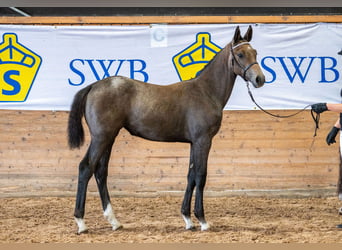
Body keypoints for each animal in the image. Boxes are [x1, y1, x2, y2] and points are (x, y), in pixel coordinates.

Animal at [68, 25, 266, 234]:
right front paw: (202, 220)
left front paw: (187, 219)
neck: (206, 91)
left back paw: (114, 221)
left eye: (255, 52)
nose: (259, 79)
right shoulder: (203, 140)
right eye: (240, 54)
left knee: (100, 171)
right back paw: (81, 222)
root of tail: (93, 86)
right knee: (86, 168)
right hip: (101, 137)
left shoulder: (194, 143)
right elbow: (201, 176)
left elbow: (190, 176)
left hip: (108, 138)